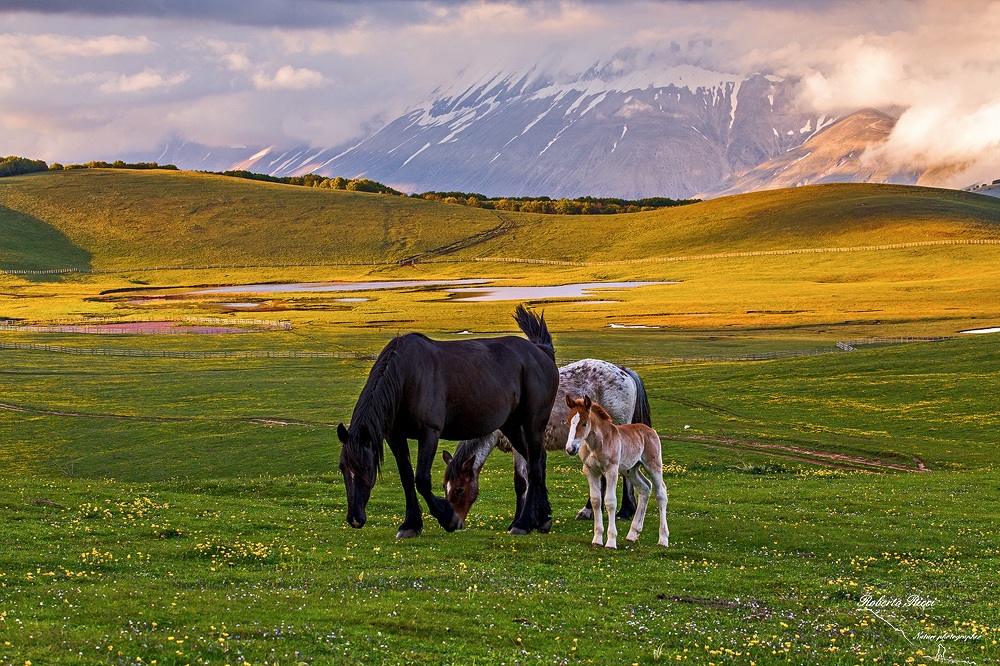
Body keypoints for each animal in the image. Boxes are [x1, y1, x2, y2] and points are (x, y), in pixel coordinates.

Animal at [337, 305, 559, 538]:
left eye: (366, 467)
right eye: (342, 467)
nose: (355, 519)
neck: (407, 377)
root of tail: (541, 351)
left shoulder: (429, 434)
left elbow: (421, 480)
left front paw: (447, 517)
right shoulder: (395, 437)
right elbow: (406, 477)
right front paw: (410, 524)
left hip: (533, 424)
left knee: (535, 466)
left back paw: (524, 523)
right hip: (511, 426)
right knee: (537, 460)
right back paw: (542, 518)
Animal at [442, 358, 651, 524]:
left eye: (460, 489)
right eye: (446, 487)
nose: (451, 522)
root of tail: (623, 371)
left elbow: (521, 482)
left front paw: (520, 520)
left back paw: (623, 511)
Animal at [565, 395, 669, 549]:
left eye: (584, 423)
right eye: (567, 423)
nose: (570, 449)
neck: (595, 444)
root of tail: (650, 430)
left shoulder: (611, 470)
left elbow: (610, 501)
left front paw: (611, 541)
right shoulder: (590, 470)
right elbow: (596, 501)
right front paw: (597, 539)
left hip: (653, 465)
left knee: (661, 492)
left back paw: (663, 539)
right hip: (631, 469)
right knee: (645, 487)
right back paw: (632, 535)